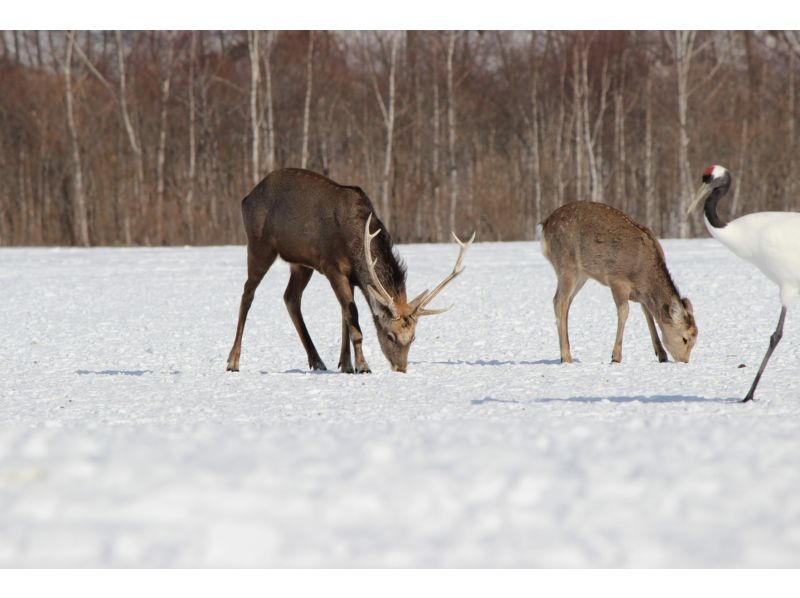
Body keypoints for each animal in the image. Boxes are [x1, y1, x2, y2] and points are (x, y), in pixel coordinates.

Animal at [225, 169, 476, 376]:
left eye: (413, 337)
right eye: (390, 335)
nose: (401, 368)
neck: (357, 243)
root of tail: (247, 198)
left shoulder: (353, 278)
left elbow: (345, 316)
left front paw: (346, 365)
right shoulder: (333, 267)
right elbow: (353, 317)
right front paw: (363, 366)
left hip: (301, 263)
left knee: (290, 297)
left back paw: (317, 361)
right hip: (259, 246)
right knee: (247, 294)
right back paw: (233, 361)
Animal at [540, 203, 696, 366]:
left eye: (695, 340)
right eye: (685, 339)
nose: (685, 361)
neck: (643, 278)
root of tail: (545, 225)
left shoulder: (640, 294)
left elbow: (647, 313)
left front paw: (661, 354)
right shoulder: (618, 281)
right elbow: (624, 312)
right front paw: (616, 356)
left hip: (581, 275)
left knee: (566, 303)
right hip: (567, 264)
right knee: (559, 301)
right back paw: (566, 357)